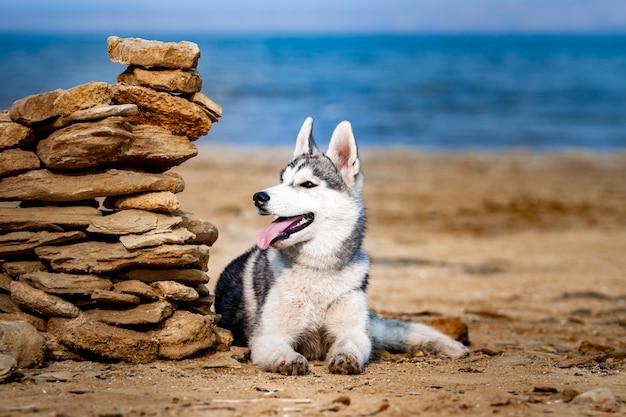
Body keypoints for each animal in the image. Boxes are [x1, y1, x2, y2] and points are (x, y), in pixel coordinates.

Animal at [214, 117, 468, 374]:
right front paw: (289, 359)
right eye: (282, 180)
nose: (258, 197)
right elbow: (281, 350)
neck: (319, 271)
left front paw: (345, 358)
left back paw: (452, 347)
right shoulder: (268, 336)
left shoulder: (354, 331)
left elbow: (349, 344)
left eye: (307, 184)